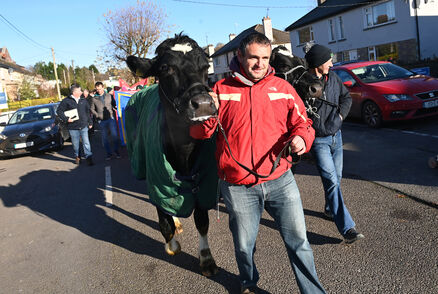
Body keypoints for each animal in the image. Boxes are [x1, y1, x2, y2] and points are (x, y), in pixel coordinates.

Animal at [126, 33, 219, 276]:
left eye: (206, 66)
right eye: (165, 68)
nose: (203, 104)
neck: (183, 151)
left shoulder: (203, 182)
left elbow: (202, 220)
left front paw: (206, 258)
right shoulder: (157, 180)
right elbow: (164, 221)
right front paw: (172, 245)